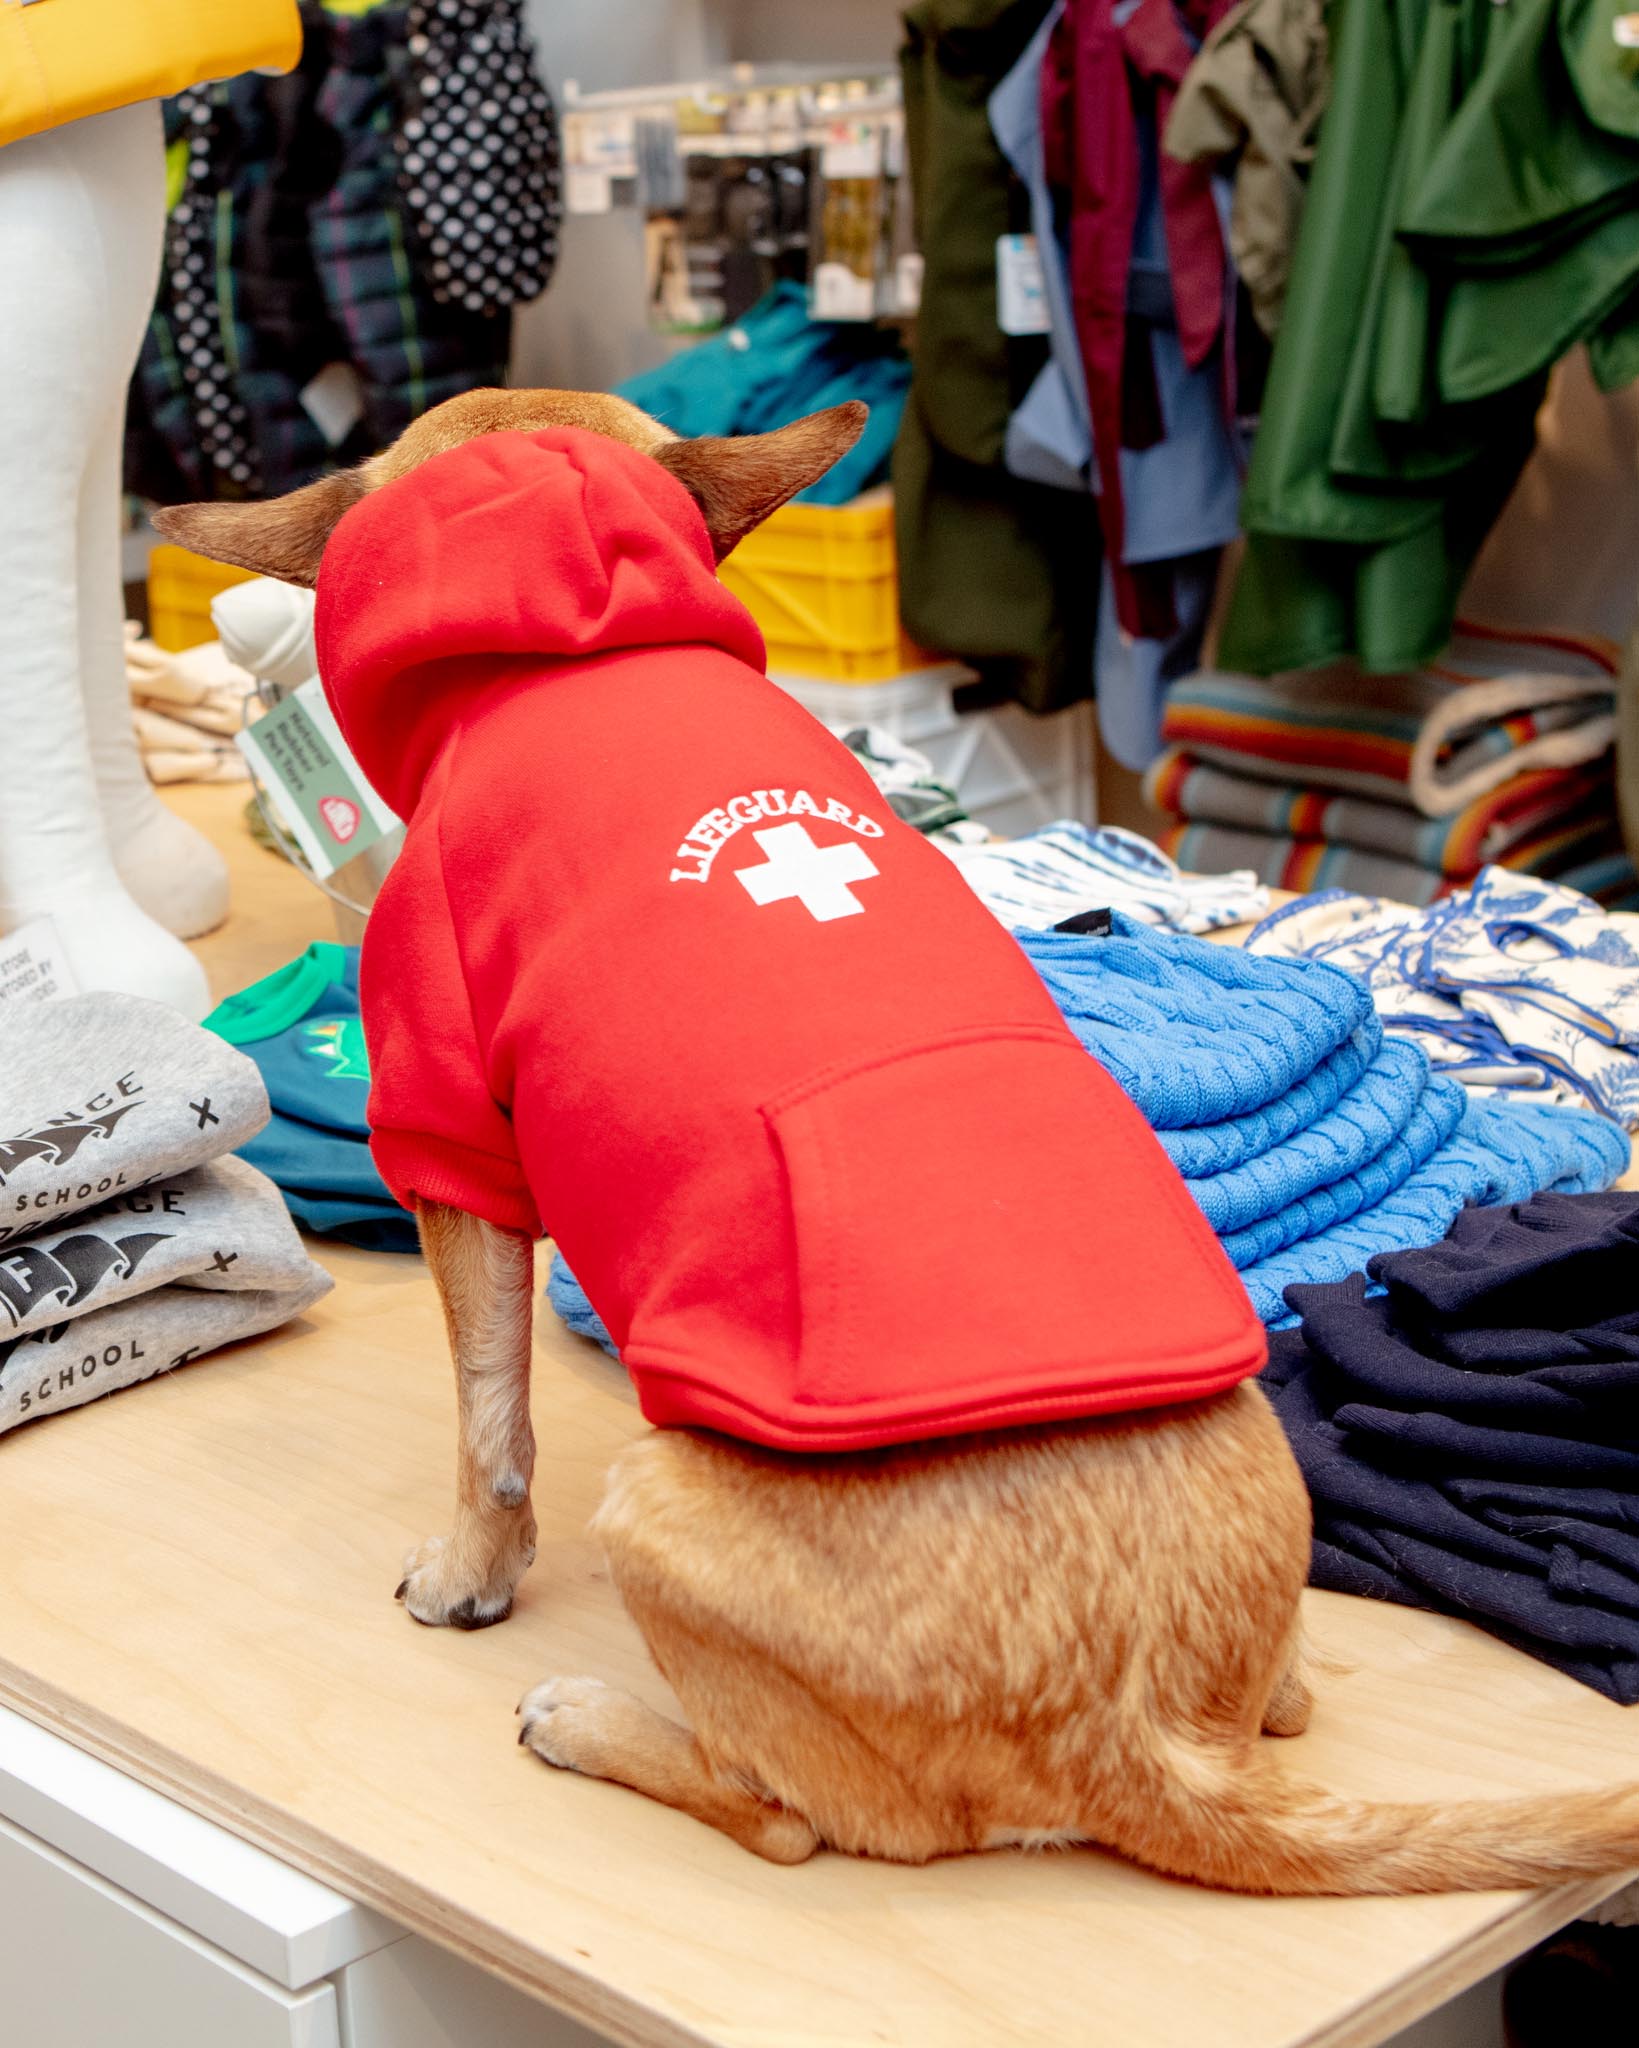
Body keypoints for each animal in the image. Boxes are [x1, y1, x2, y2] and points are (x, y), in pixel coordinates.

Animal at [159, 391, 1639, 1892]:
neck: (584, 648)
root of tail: (1156, 1745)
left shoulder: (453, 1152)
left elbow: (487, 1414)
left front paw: (472, 1572)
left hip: (656, 1500)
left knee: (791, 1819)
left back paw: (594, 1722)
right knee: (1287, 1702)